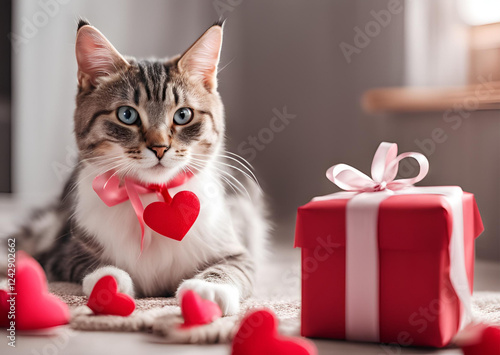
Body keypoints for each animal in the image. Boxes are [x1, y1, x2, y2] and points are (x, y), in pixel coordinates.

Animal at [9, 19, 268, 316]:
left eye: (183, 115)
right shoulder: (62, 252)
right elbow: (91, 265)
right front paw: (109, 283)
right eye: (127, 115)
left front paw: (208, 290)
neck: (150, 196)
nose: (159, 148)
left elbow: (233, 266)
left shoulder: (236, 244)